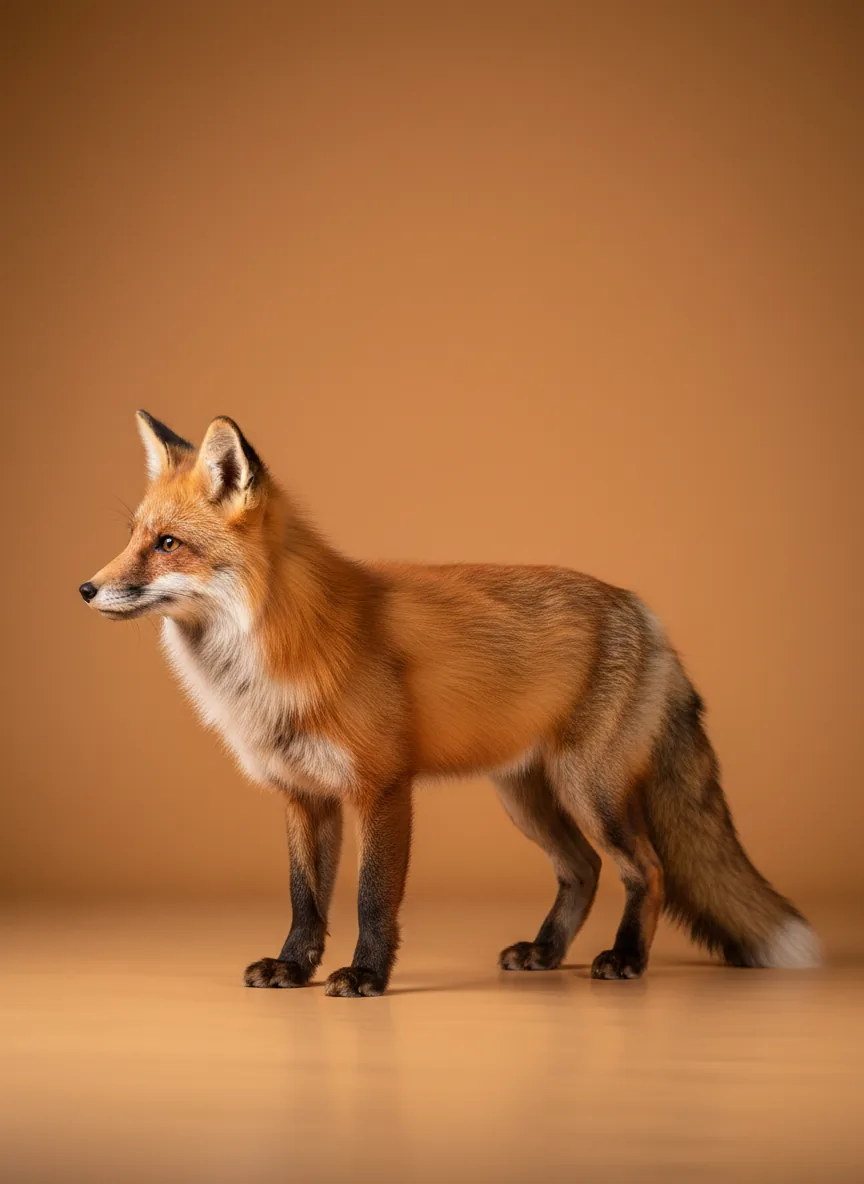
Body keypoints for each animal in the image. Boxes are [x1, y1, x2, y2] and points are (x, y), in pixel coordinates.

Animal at [80, 411, 820, 996]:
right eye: (131, 536)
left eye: (168, 544)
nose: (85, 588)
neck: (276, 648)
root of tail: (642, 610)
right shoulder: (303, 795)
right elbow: (304, 899)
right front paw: (293, 968)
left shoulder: (382, 787)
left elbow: (372, 898)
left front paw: (366, 976)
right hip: (526, 797)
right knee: (581, 870)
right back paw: (545, 952)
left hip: (589, 791)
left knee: (648, 869)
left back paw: (625, 959)